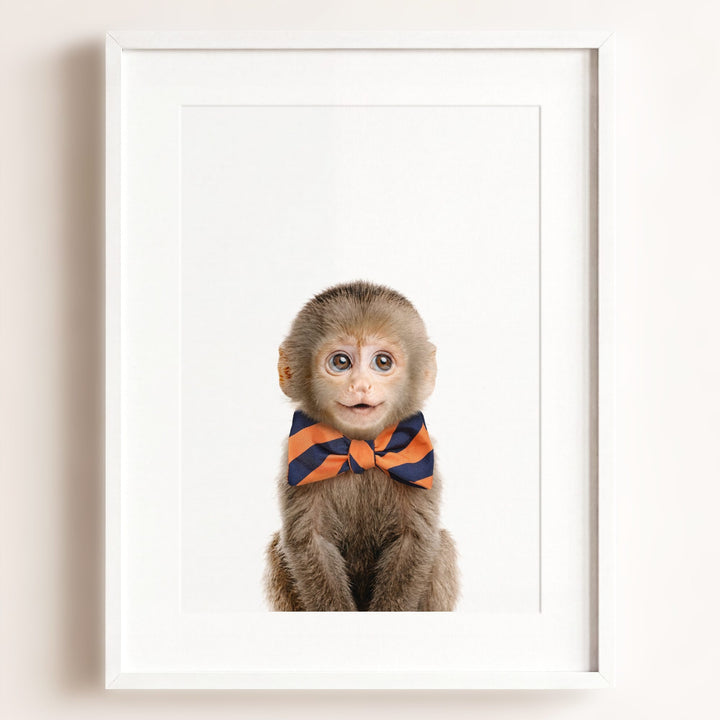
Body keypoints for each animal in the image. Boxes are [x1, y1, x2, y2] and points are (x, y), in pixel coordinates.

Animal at [264, 280, 459, 611]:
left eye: (382, 362)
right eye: (341, 362)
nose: (360, 386)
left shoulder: (422, 459)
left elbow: (416, 540)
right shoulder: (296, 459)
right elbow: (309, 541)